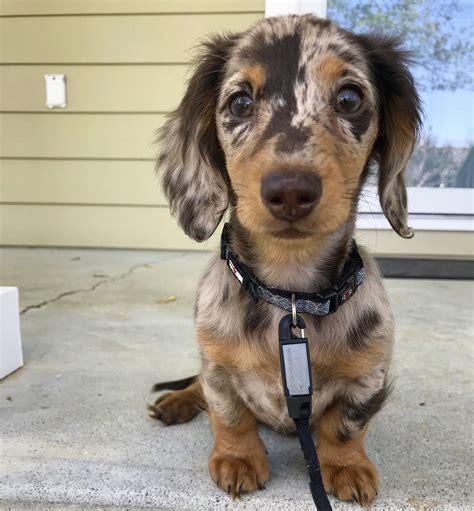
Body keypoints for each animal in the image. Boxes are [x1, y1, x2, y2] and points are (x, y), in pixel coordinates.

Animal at [150, 14, 420, 506]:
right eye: (240, 102)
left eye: (349, 98)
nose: (290, 190)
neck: (290, 295)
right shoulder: (216, 364)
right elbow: (228, 412)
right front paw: (238, 459)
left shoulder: (369, 376)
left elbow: (345, 426)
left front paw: (347, 467)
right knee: (196, 385)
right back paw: (176, 402)